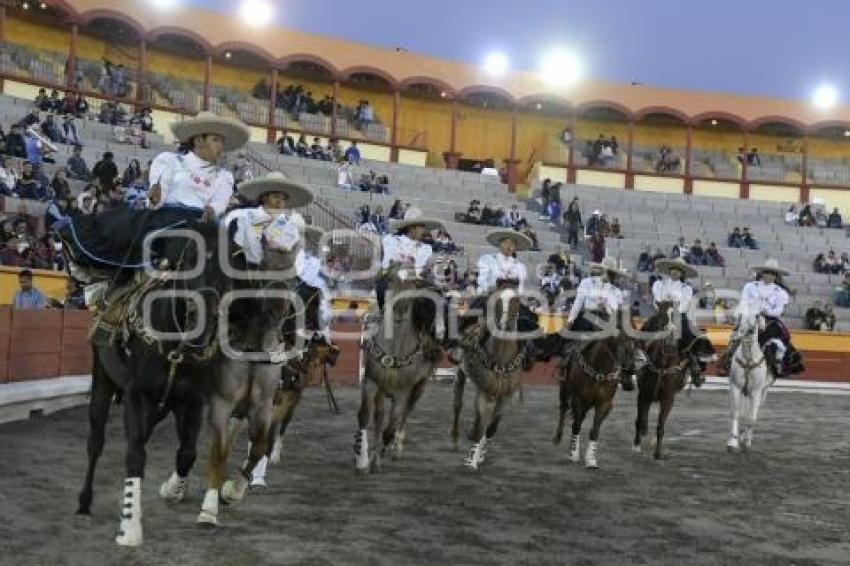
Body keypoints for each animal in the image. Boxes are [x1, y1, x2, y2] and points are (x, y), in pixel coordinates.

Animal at [724, 312, 768, 454]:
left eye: (752, 327)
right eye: (740, 321)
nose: (735, 336)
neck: (748, 360)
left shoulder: (756, 392)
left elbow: (752, 417)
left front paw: (746, 442)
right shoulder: (735, 387)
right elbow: (736, 413)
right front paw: (732, 442)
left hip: (761, 394)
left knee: (753, 414)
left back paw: (745, 437)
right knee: (743, 412)